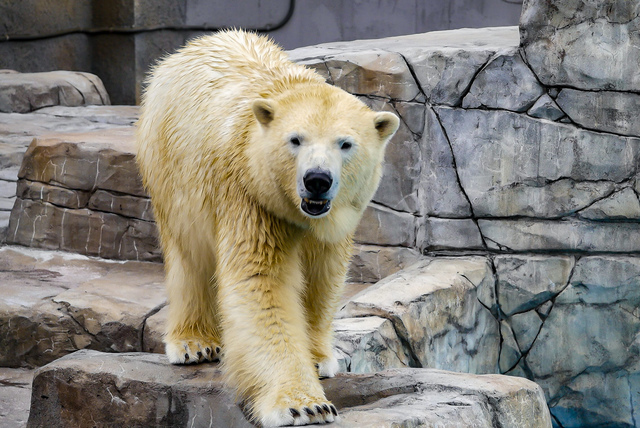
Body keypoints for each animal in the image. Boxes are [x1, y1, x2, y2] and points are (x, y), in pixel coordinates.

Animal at [138, 30, 398, 428]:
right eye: (295, 139)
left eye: (346, 143)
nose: (317, 180)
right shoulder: (250, 197)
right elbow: (263, 285)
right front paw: (305, 405)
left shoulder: (329, 226)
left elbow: (322, 277)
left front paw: (318, 358)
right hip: (171, 167)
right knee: (190, 255)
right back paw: (194, 343)